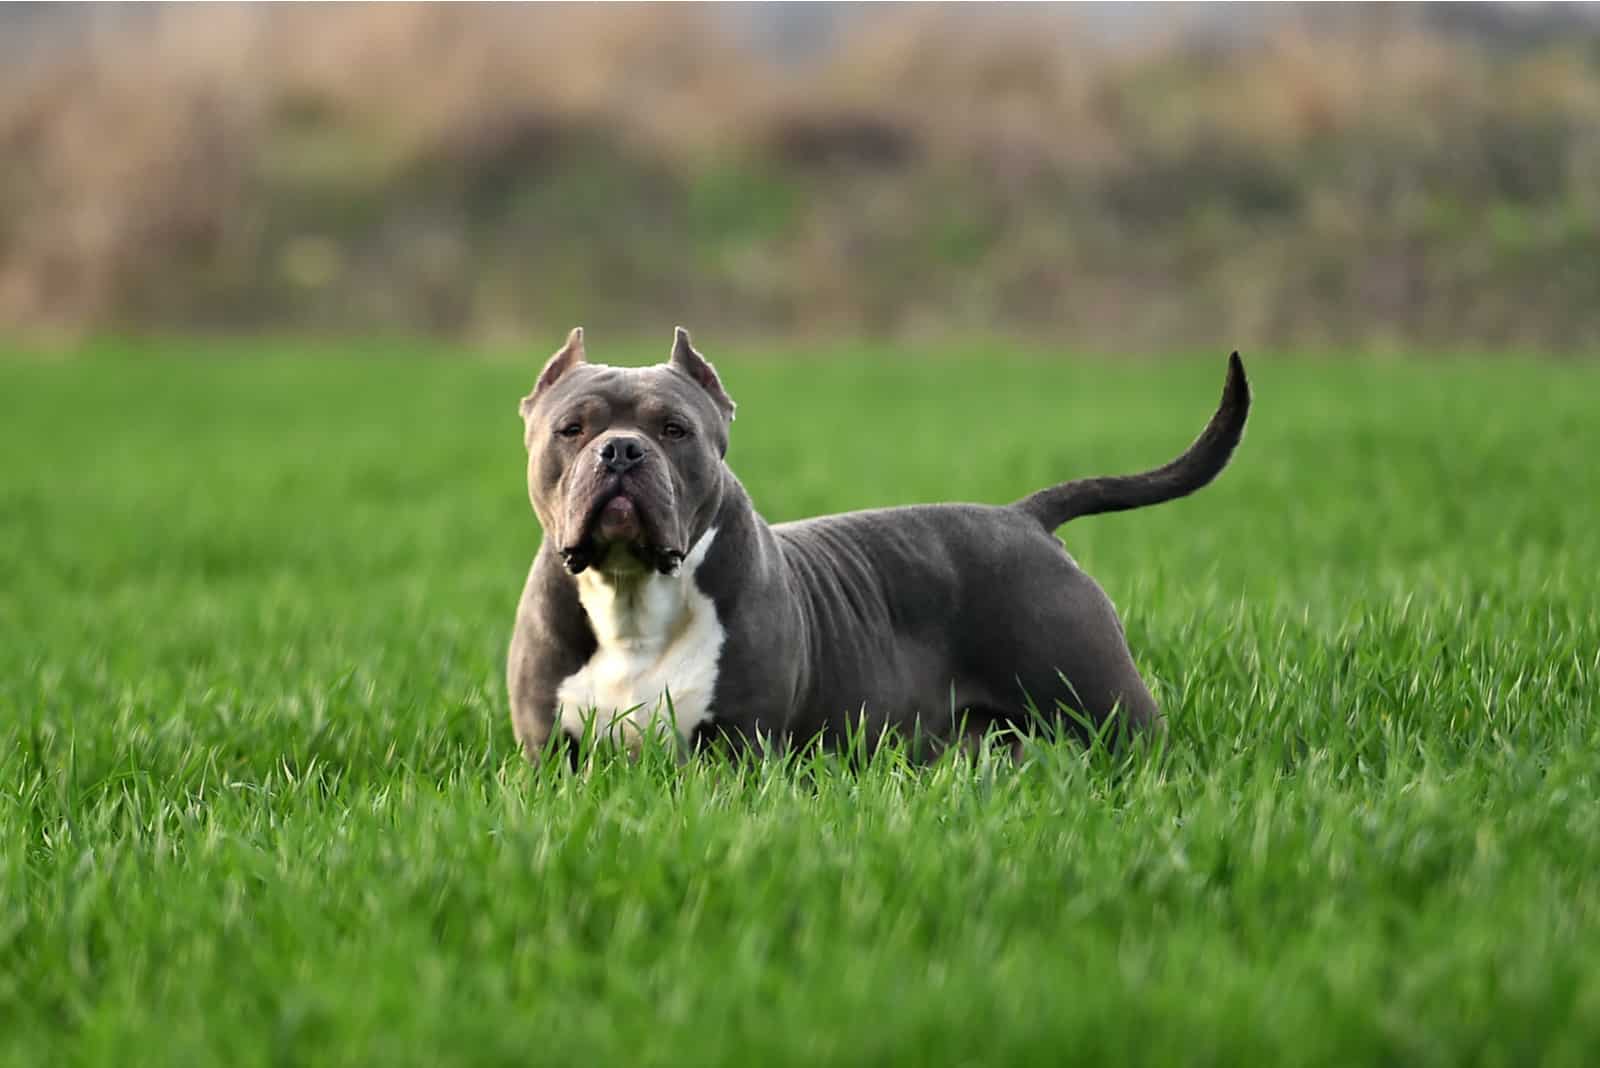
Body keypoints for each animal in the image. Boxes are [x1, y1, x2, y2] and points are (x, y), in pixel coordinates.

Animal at [502, 327, 1248, 757]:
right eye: (572, 429)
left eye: (675, 430)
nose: (622, 450)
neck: (633, 593)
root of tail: (1026, 518)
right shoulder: (549, 756)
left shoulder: (739, 746)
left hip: (1107, 706)